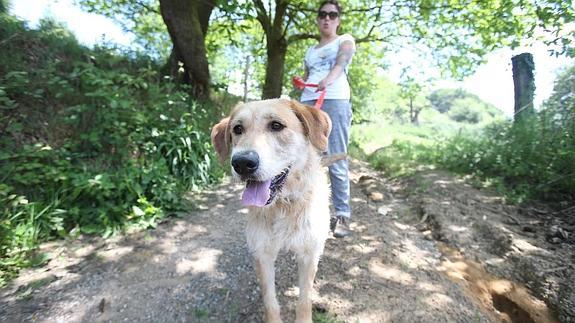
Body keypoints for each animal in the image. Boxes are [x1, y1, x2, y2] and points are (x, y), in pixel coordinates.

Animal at [212, 99, 330, 323]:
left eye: (276, 125)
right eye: (237, 129)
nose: (242, 163)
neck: (283, 205)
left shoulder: (309, 254)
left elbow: (304, 300)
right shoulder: (262, 255)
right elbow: (270, 301)